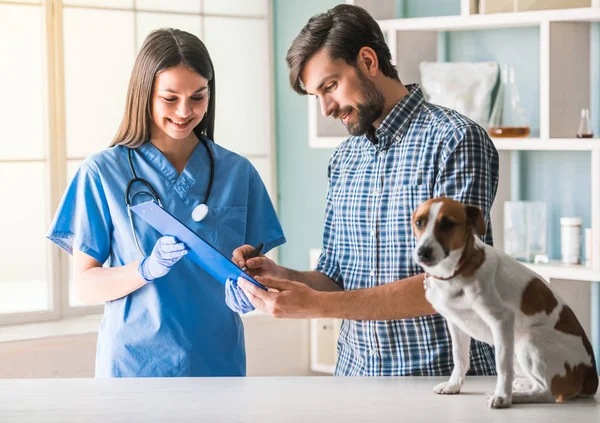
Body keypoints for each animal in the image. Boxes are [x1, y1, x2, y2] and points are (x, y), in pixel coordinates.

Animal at [410, 199, 596, 410]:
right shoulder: (456, 325)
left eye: (448, 224)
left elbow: (502, 365)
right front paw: (453, 385)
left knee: (547, 392)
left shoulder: (501, 320)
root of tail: (590, 377)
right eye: (419, 223)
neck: (457, 271)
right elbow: (460, 358)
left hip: (528, 339)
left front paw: (503, 397)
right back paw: (522, 384)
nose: (422, 252)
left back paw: (516, 396)